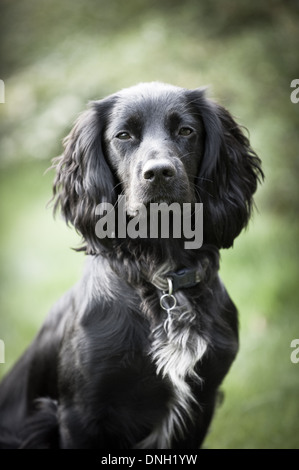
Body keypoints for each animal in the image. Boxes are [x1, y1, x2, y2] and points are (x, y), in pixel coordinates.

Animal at [0, 81, 262, 448]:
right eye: (123, 135)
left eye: (186, 130)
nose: (159, 173)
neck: (162, 276)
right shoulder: (80, 413)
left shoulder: (203, 401)